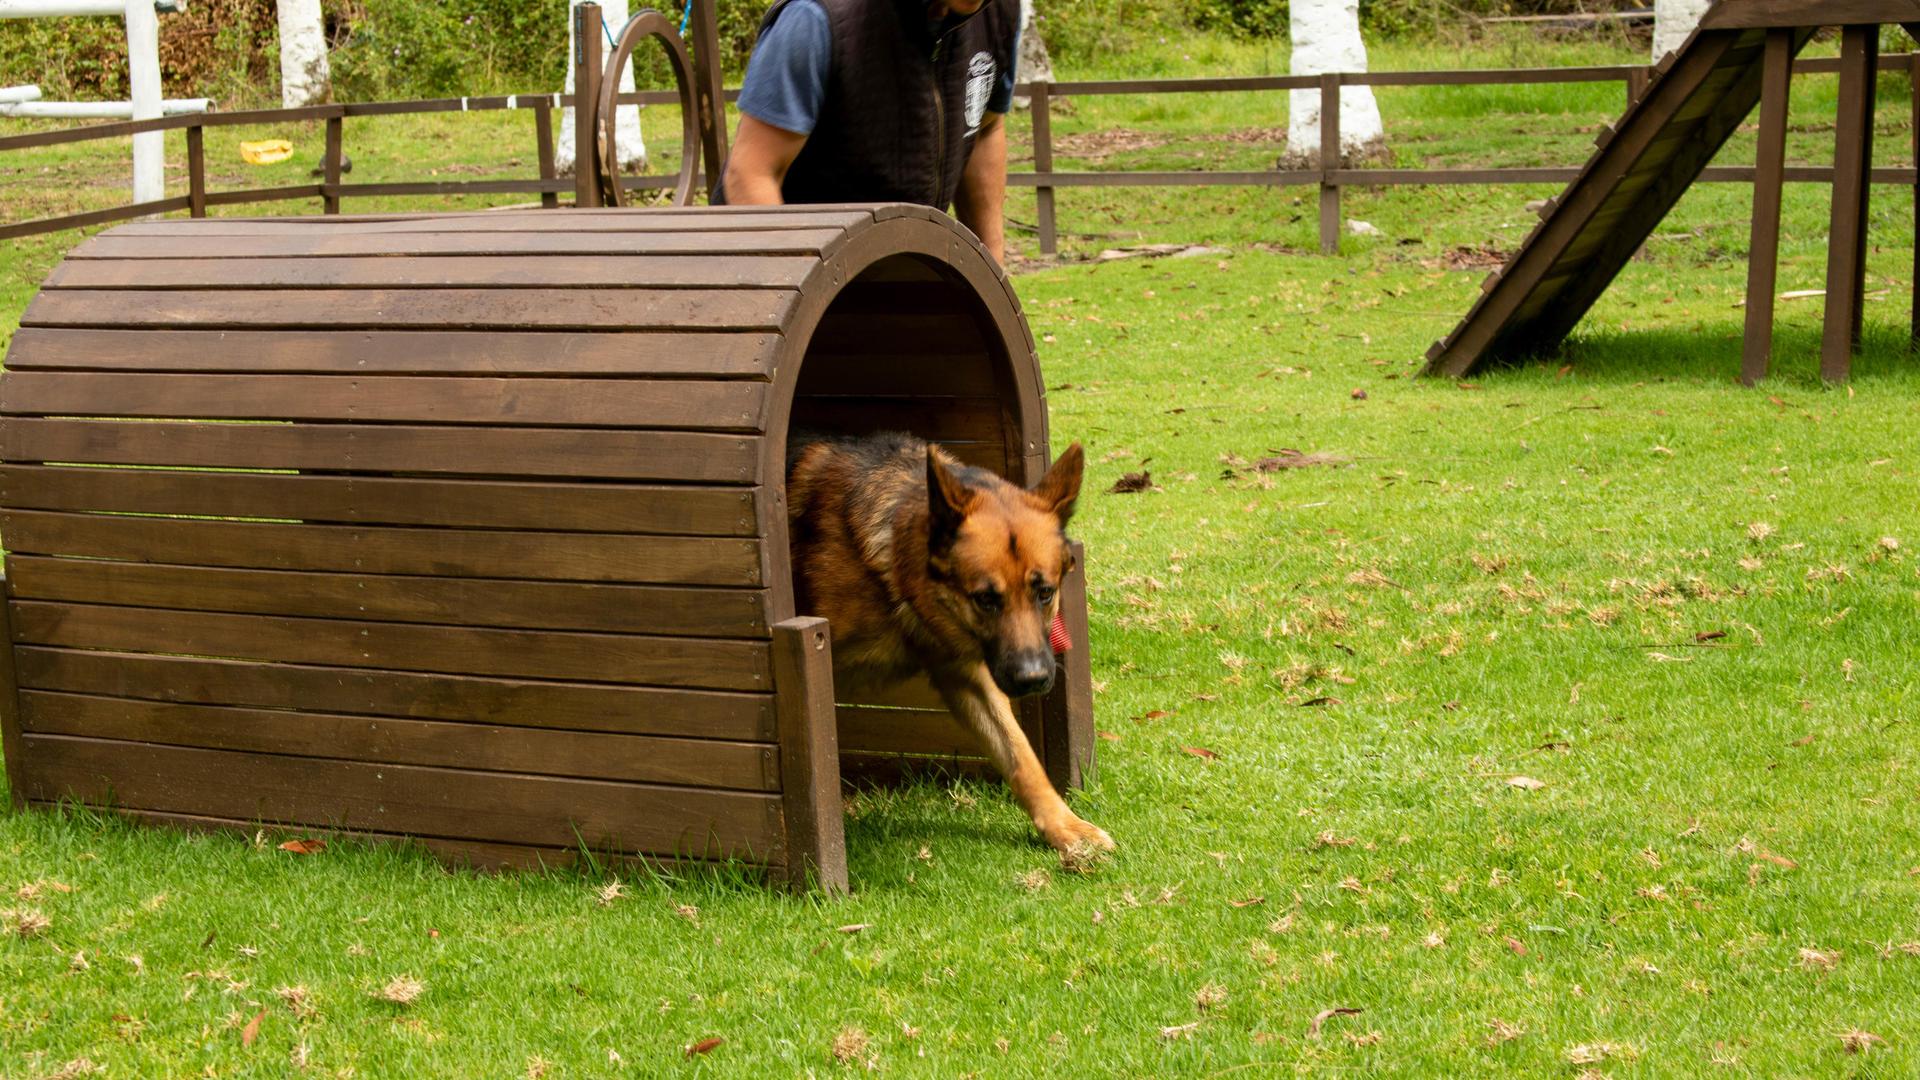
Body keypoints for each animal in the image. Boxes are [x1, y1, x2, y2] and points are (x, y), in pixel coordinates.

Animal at [786, 431, 1114, 856]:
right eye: (986, 599)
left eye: (1045, 592)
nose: (1033, 679)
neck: (898, 574)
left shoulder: (969, 678)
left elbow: (1021, 754)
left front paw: (1064, 826)